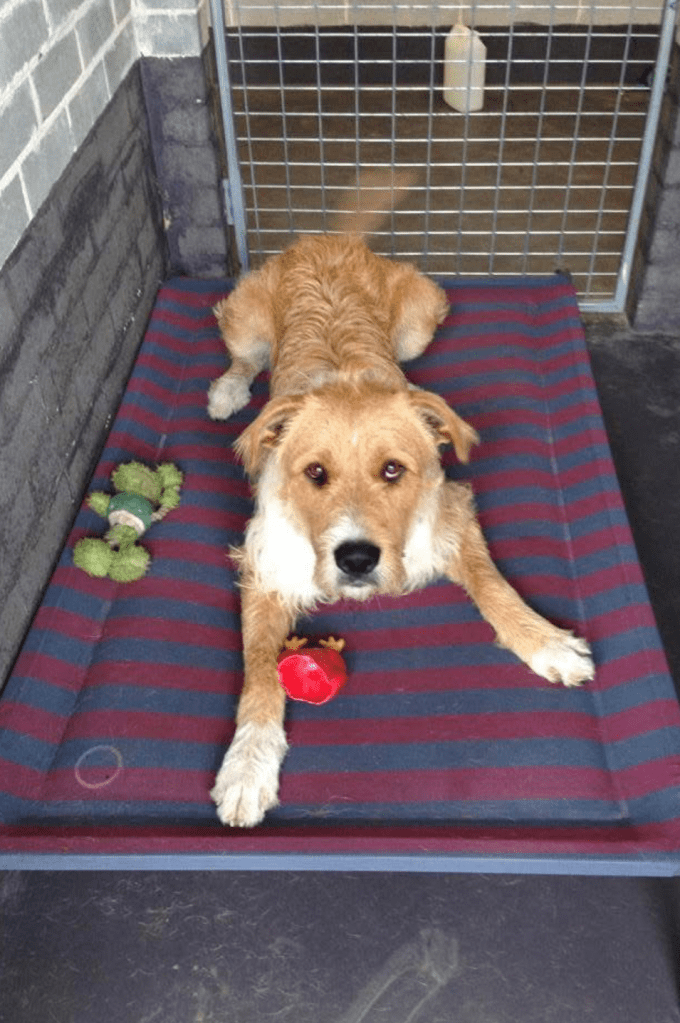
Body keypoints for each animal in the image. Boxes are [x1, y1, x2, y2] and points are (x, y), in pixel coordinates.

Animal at [207, 183, 594, 828]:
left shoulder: (452, 512)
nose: (357, 559)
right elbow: (260, 673)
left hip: (419, 325)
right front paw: (247, 765)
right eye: (315, 473)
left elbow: (494, 585)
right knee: (245, 358)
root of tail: (331, 239)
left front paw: (545, 642)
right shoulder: (265, 568)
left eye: (393, 470)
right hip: (246, 322)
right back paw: (228, 392)